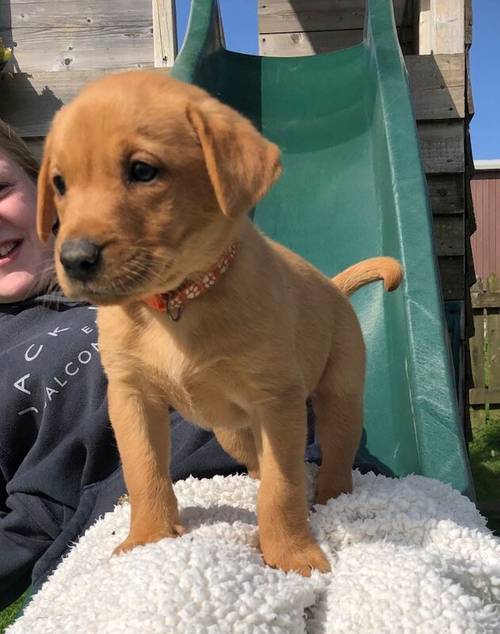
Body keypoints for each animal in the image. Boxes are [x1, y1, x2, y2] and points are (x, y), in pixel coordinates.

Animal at [37, 71, 402, 576]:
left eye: (142, 171)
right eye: (59, 183)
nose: (74, 259)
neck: (176, 304)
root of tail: (332, 285)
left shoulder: (277, 401)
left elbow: (284, 488)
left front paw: (291, 554)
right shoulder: (131, 396)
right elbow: (143, 470)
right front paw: (148, 538)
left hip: (340, 394)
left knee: (335, 456)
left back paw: (331, 498)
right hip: (231, 431)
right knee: (257, 464)